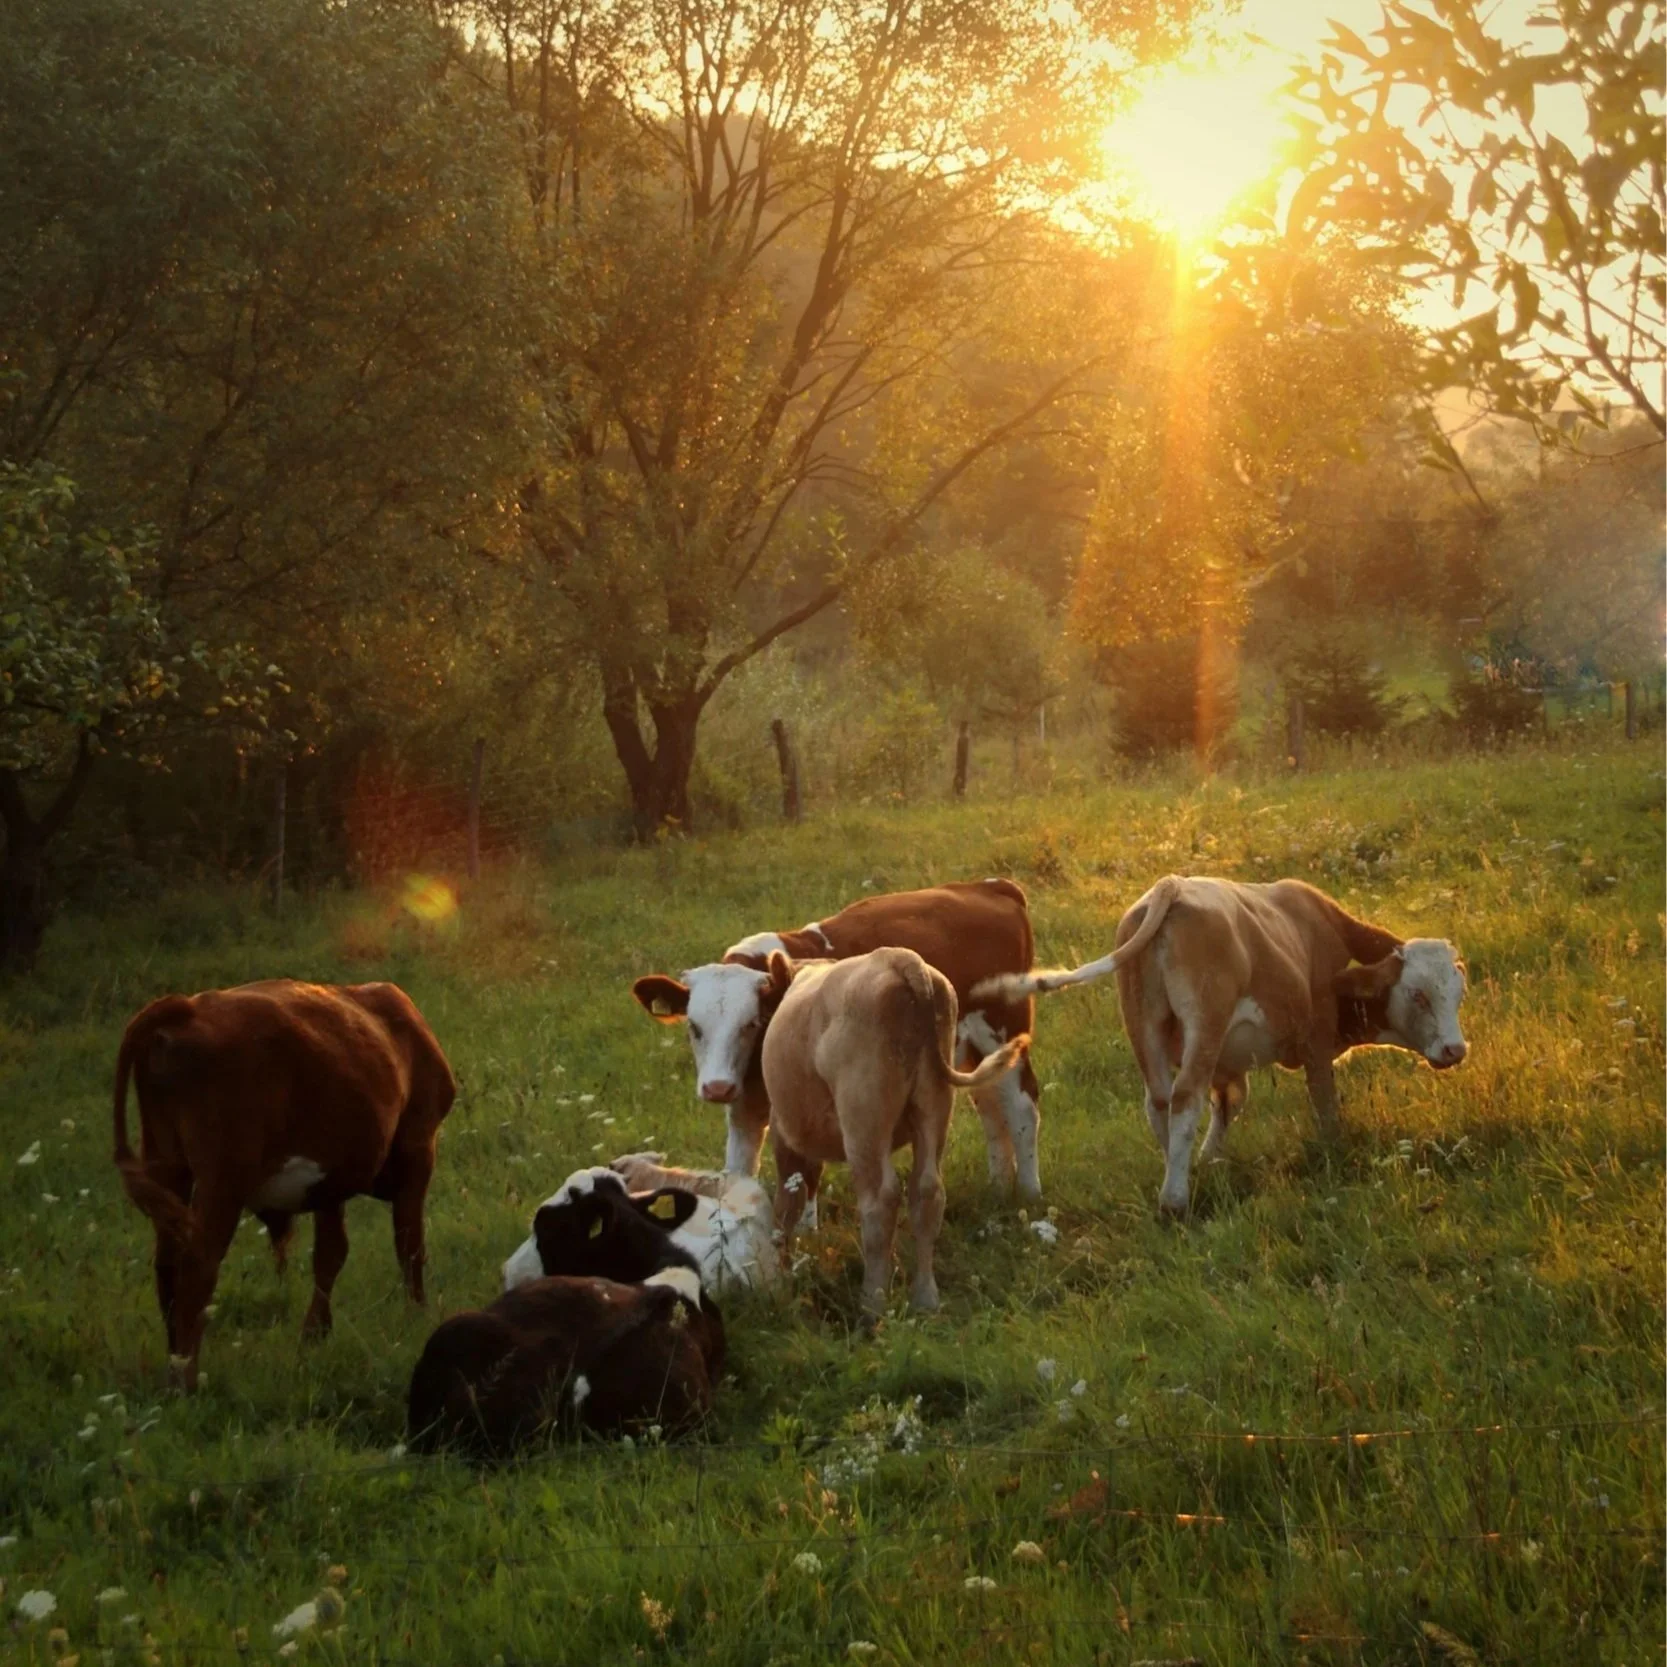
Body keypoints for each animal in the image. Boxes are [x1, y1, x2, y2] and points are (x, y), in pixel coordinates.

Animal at [111, 979, 456, 1389]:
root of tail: (186, 1008)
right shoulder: (418, 1149)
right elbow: (409, 1244)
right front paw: (417, 1317)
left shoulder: (330, 1182)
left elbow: (331, 1253)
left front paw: (315, 1335)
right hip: (223, 1177)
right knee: (198, 1264)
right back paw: (187, 1379)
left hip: (167, 1163)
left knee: (167, 1264)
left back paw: (173, 1362)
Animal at [631, 879, 1044, 1202]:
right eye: (694, 1027)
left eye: (751, 1023)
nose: (717, 1088)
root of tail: (990, 887)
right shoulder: (744, 1107)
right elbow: (739, 1172)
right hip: (971, 1051)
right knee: (991, 1106)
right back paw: (998, 1187)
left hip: (1004, 1029)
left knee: (1022, 1107)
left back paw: (1028, 1194)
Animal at [759, 946, 1029, 1317]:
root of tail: (898, 958)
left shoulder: (786, 1135)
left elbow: (787, 1204)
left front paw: (777, 1279)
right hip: (933, 1104)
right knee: (927, 1191)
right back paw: (925, 1298)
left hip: (864, 1118)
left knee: (880, 1201)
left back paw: (872, 1302)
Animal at [975, 875, 1467, 1216]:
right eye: (1418, 994)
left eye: (1459, 993)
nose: (1455, 1049)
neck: (1320, 928)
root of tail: (1171, 886)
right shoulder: (1315, 1040)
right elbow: (1324, 1103)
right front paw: (1333, 1150)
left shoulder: (1228, 1062)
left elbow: (1230, 1101)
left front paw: (1209, 1159)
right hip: (1204, 1024)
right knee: (1185, 1098)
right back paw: (1175, 1200)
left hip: (1145, 1025)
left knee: (1159, 1102)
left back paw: (1174, 1172)